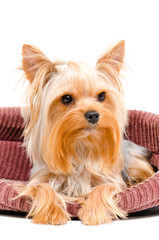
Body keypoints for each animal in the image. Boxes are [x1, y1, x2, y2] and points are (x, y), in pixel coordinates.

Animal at [18, 40, 154, 225]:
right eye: (66, 98)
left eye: (102, 96)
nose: (93, 114)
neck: (81, 145)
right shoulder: (38, 178)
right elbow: (42, 187)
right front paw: (53, 213)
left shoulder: (111, 179)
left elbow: (104, 188)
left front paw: (93, 212)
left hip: (134, 163)